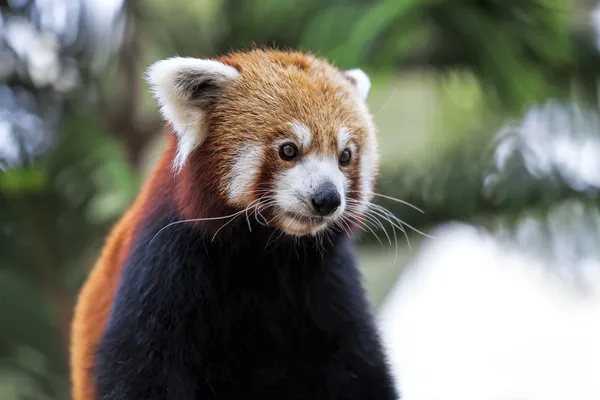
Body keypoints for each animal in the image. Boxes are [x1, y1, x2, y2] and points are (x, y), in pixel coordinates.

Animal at [69, 49, 398, 400]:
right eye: (289, 150)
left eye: (345, 156)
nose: (327, 198)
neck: (268, 254)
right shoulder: (165, 262)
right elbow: (141, 368)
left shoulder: (328, 278)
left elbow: (357, 366)